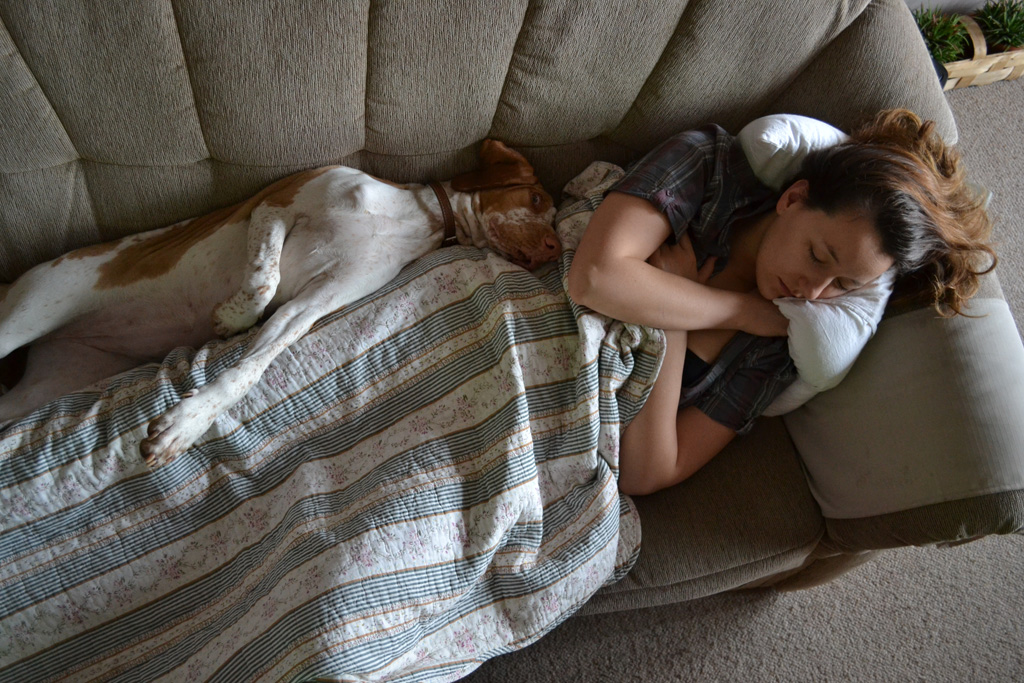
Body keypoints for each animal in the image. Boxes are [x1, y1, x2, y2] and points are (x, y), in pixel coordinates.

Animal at [0, 140, 560, 467]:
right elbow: (264, 280)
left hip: (42, 389)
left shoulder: (312, 306)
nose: (555, 250)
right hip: (26, 314)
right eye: (536, 201)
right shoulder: (275, 203)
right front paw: (232, 318)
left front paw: (187, 423)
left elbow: (250, 368)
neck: (407, 217)